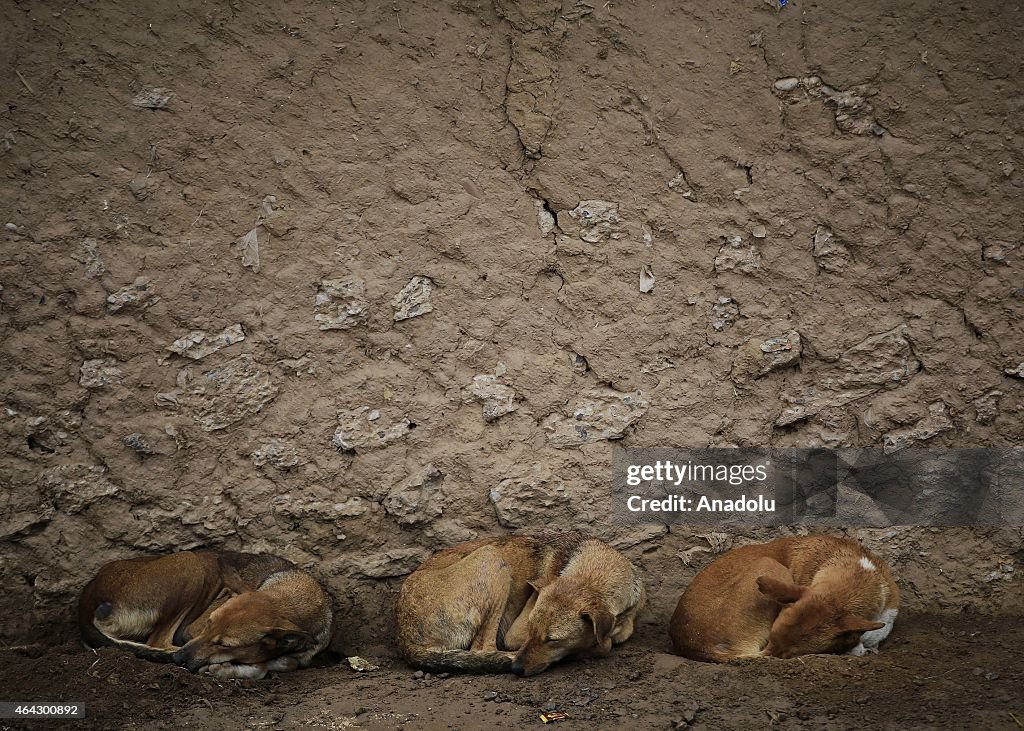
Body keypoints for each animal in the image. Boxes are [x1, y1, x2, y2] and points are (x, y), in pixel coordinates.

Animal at [76, 548, 331, 675]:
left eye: (225, 644)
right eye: (208, 622)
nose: (180, 660)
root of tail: (89, 593)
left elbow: (285, 663)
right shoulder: (192, 631)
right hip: (189, 562)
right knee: (157, 642)